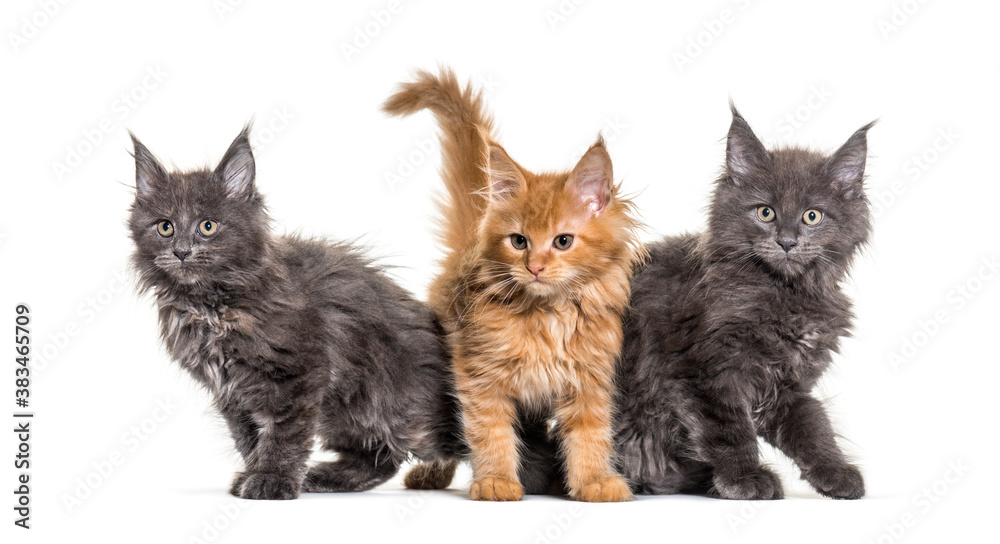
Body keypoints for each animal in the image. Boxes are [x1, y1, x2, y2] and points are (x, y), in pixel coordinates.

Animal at [128, 125, 464, 500]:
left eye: (207, 226)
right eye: (165, 227)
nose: (182, 252)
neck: (212, 307)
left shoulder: (298, 374)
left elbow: (284, 434)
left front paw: (272, 480)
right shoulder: (231, 393)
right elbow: (250, 439)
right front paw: (256, 473)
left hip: (406, 415)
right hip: (346, 412)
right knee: (382, 457)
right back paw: (325, 477)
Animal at [382, 70, 640, 504]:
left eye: (563, 241)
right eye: (518, 241)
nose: (534, 267)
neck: (547, 316)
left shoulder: (587, 380)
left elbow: (590, 436)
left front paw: (593, 481)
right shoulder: (479, 376)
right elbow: (490, 433)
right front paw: (496, 481)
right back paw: (432, 474)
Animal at [612, 104, 880, 500]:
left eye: (812, 216)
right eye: (765, 212)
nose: (787, 241)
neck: (786, 293)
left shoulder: (789, 385)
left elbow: (814, 428)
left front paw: (835, 473)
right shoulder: (702, 371)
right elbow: (729, 429)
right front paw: (744, 478)